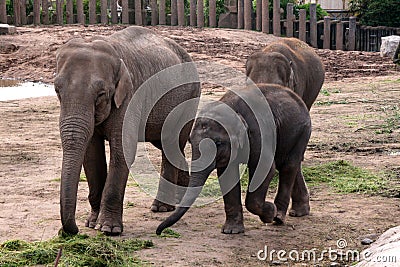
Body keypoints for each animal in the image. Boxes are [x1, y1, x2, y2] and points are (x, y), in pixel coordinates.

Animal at [54, 26, 202, 236]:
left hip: (189, 97)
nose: (69, 231)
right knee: (169, 145)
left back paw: (161, 208)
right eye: (57, 90)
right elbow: (91, 154)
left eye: (101, 94)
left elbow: (122, 150)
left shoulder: (129, 96)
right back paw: (179, 199)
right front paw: (92, 223)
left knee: (171, 144)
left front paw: (108, 229)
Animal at [158, 84, 310, 237]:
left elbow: (264, 169)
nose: (159, 232)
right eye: (189, 141)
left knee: (288, 166)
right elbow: (228, 176)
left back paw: (278, 217)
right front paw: (231, 231)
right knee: (290, 164)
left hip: (302, 130)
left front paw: (269, 213)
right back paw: (298, 212)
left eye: (218, 143)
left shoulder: (258, 132)